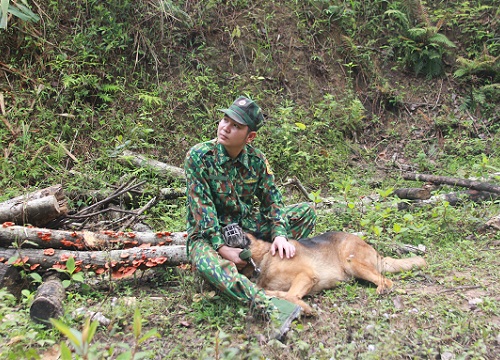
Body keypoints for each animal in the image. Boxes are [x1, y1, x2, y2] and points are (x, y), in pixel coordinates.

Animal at [241, 232, 426, 314]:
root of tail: (377, 254)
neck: (264, 258)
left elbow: (290, 296)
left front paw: (305, 308)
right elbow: (273, 292)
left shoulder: (306, 275)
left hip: (352, 262)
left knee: (387, 281)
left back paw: (381, 289)